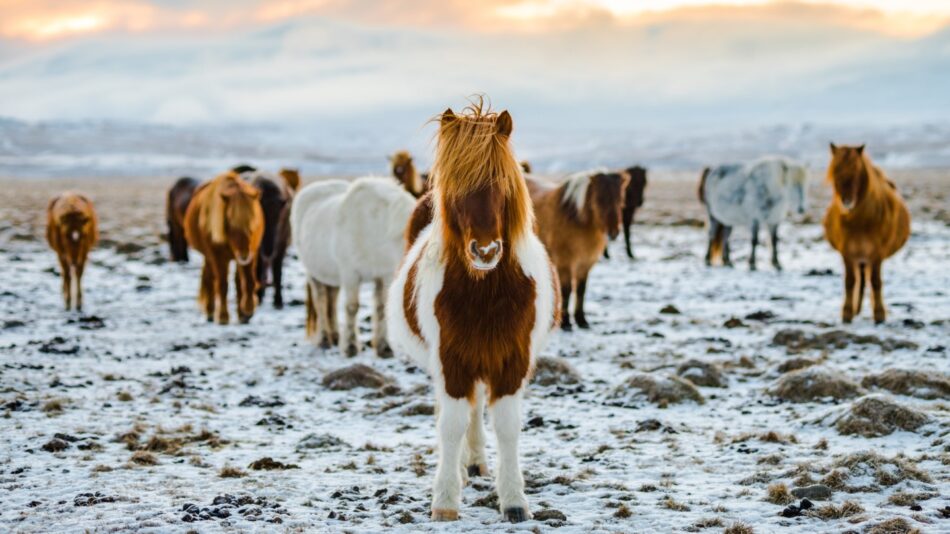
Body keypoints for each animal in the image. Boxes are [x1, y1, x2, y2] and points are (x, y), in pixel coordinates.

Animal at [184, 172, 264, 324]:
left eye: (253, 224)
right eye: (230, 225)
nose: (243, 255)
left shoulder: (252, 251)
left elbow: (248, 281)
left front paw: (248, 310)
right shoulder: (217, 256)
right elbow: (222, 285)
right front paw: (223, 317)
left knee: (237, 282)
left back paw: (241, 314)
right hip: (210, 256)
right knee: (209, 278)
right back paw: (210, 311)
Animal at [290, 178, 416, 358]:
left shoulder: (385, 275)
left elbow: (381, 308)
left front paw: (384, 347)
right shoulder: (351, 274)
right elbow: (352, 308)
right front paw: (350, 347)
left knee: (332, 300)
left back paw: (335, 336)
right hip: (313, 273)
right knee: (320, 301)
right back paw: (324, 340)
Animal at [386, 100, 560, 524]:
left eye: (502, 183)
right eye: (456, 187)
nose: (485, 251)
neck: (485, 294)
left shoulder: (511, 361)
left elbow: (507, 427)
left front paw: (514, 500)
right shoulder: (451, 361)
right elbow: (450, 425)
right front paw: (446, 500)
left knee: (476, 407)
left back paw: (476, 463)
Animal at [820, 144, 912, 324]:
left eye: (857, 169)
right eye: (835, 170)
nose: (846, 201)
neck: (860, 223)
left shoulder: (877, 253)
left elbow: (876, 282)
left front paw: (879, 315)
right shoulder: (847, 253)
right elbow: (850, 281)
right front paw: (847, 314)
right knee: (860, 279)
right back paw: (857, 309)